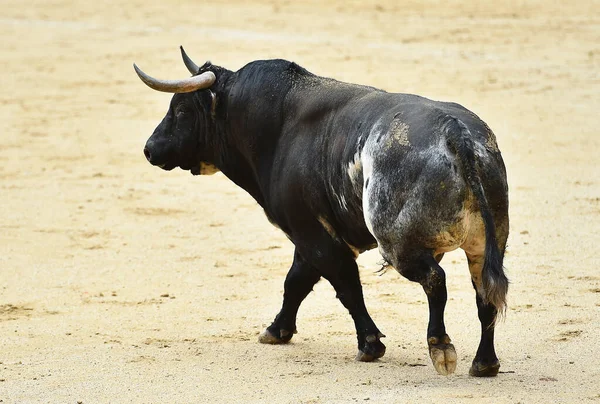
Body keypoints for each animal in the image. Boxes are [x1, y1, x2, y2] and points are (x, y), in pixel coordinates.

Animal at [136, 48, 510, 378]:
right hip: (486, 243)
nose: (150, 149)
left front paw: (369, 344)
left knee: (436, 280)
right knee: (485, 292)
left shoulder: (311, 232)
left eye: (181, 110)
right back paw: (484, 363)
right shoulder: (309, 234)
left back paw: (441, 348)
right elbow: (298, 281)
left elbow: (341, 283)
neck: (275, 124)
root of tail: (454, 131)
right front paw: (277, 330)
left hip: (399, 245)